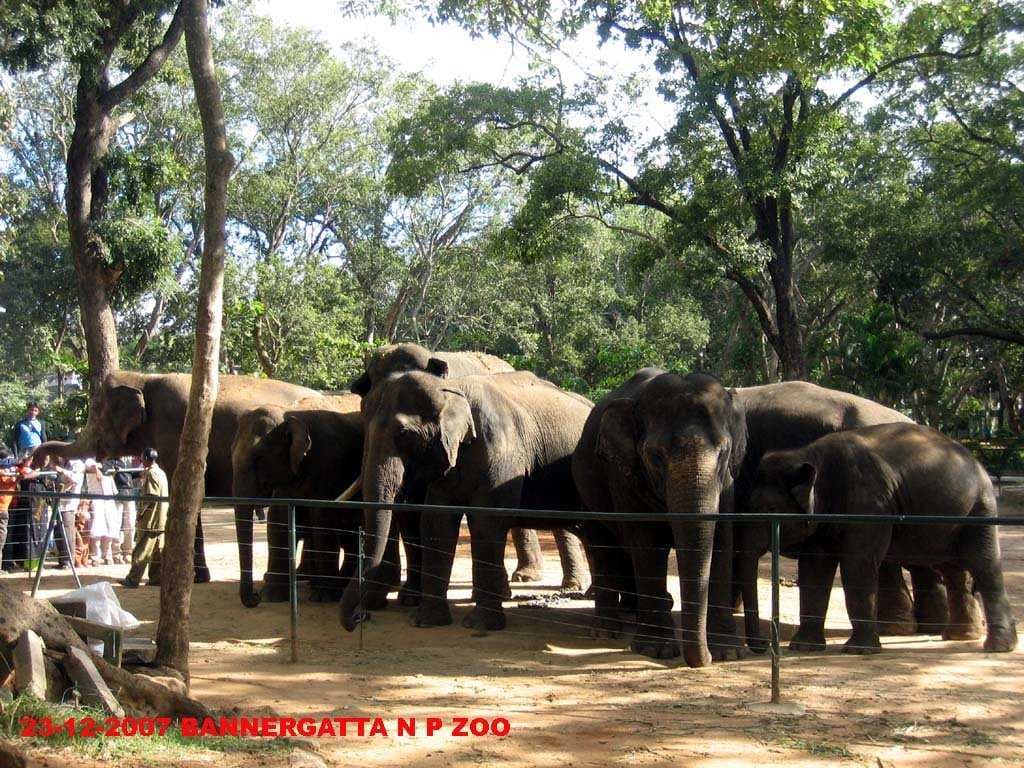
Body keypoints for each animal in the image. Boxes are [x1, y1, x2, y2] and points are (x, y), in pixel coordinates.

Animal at [34, 370, 317, 583]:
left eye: (97, 417)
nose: (39, 462)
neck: (143, 378)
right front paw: (196, 577)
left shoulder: (175, 435)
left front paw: (188, 578)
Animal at [339, 370, 593, 632]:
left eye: (405, 434)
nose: (359, 618)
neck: (451, 388)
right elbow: (436, 522)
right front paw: (425, 621)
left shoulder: (501, 451)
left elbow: (486, 522)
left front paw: (480, 625)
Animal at [572, 368, 965, 667]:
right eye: (653, 455)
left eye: (724, 452)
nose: (758, 647)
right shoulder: (622, 472)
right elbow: (646, 540)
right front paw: (657, 650)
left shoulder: (730, 477)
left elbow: (723, 537)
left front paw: (727, 653)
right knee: (606, 542)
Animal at [743, 423, 1017, 654]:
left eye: (769, 509)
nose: (763, 646)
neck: (810, 454)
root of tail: (978, 463)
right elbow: (814, 567)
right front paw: (804, 648)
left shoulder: (871, 503)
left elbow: (857, 564)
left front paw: (857, 651)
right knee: (954, 570)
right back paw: (960, 636)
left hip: (980, 511)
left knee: (984, 566)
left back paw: (997, 647)